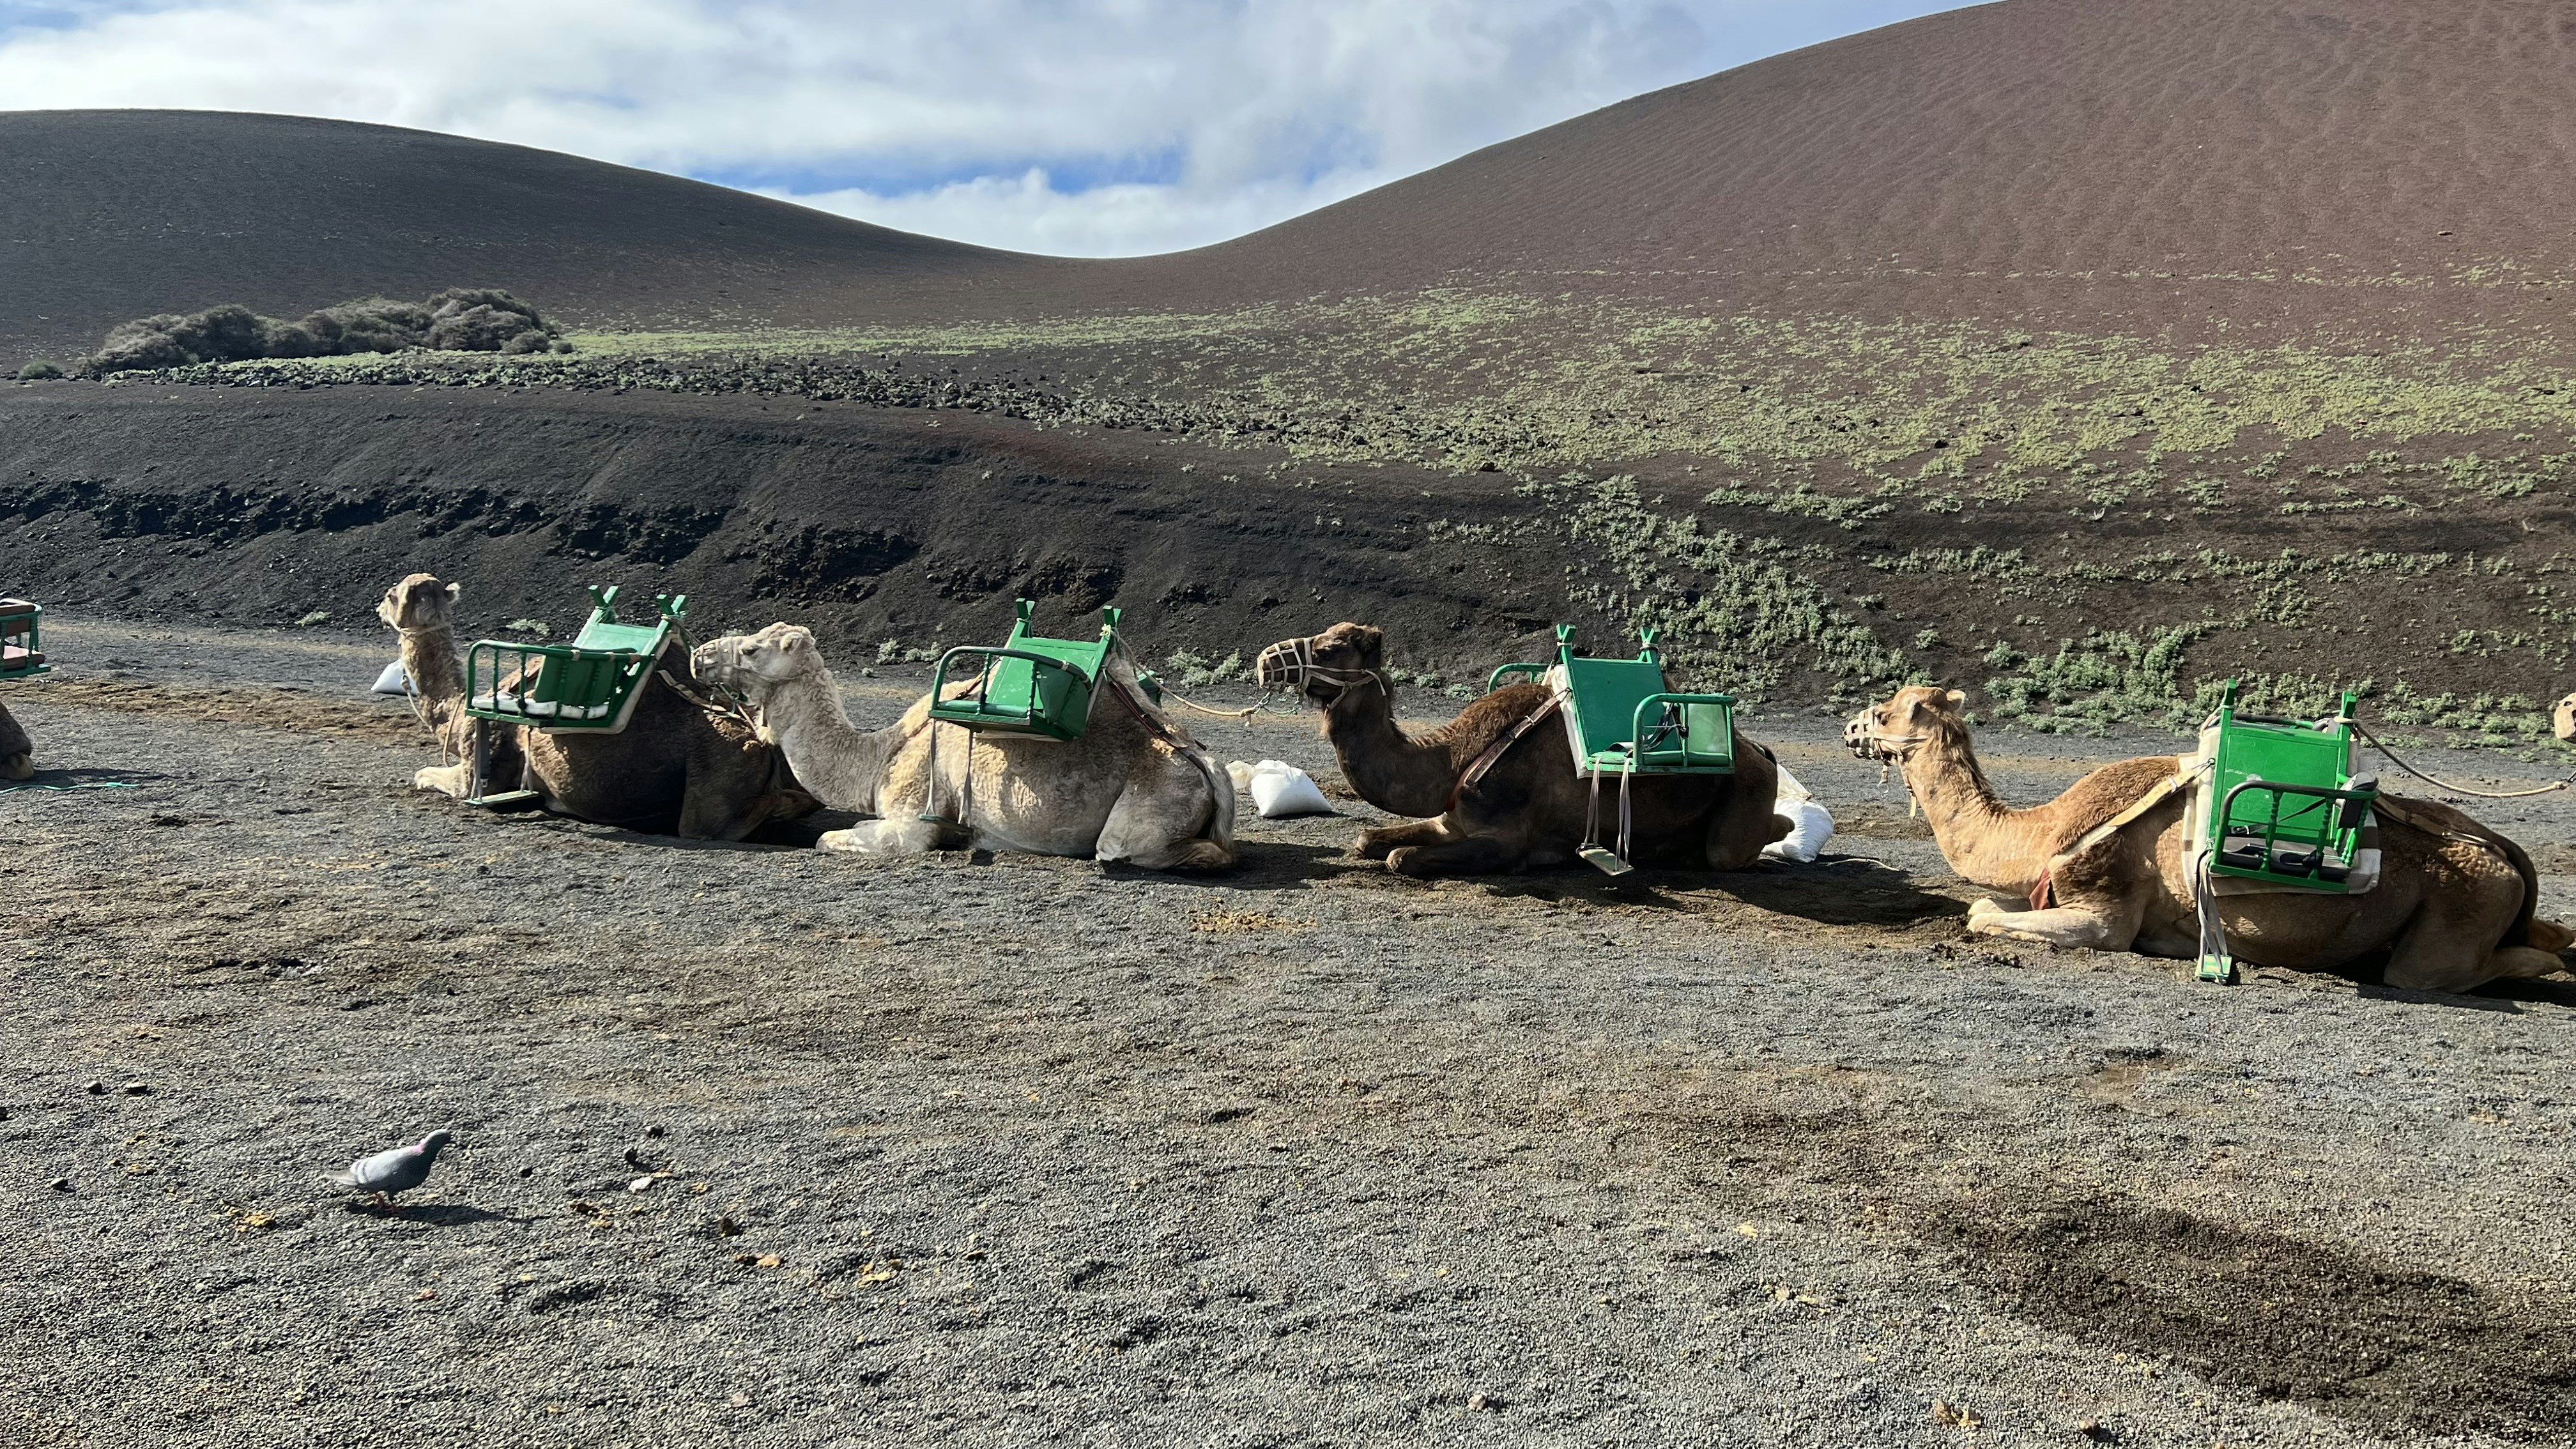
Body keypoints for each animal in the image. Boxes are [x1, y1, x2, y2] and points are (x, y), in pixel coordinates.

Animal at [378, 572, 815, 840]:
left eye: (390, 594)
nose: (377, 607)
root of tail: (767, 743)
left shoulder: (480, 770)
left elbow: (424, 775)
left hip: (715, 782)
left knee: (710, 823)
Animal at [690, 622, 1234, 870]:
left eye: (752, 649)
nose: (700, 655)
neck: (881, 757)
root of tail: (1207, 765)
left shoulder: (913, 821)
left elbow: (829, 839)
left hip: (1146, 813)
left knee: (1132, 850)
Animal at [1254, 622, 1789, 876]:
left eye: (1329, 650)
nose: (1264, 661)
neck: (1454, 761)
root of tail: (1759, 752)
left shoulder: (1505, 840)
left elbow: (1400, 859)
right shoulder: (1449, 821)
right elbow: (1369, 840)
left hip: (1744, 804)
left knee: (1738, 845)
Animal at [1847, 685, 2573, 992]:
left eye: (1883, 713)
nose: (1851, 728)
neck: (2045, 830)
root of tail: (2504, 851)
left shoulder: (2105, 909)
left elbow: (1980, 913)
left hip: (2456, 916)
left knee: (2448, 969)